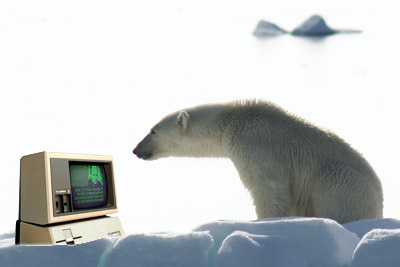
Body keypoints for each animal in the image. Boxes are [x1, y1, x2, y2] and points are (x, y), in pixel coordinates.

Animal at [133, 100, 382, 224]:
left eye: (152, 131)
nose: (136, 150)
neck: (230, 120)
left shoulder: (254, 145)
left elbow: (268, 189)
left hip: (341, 180)